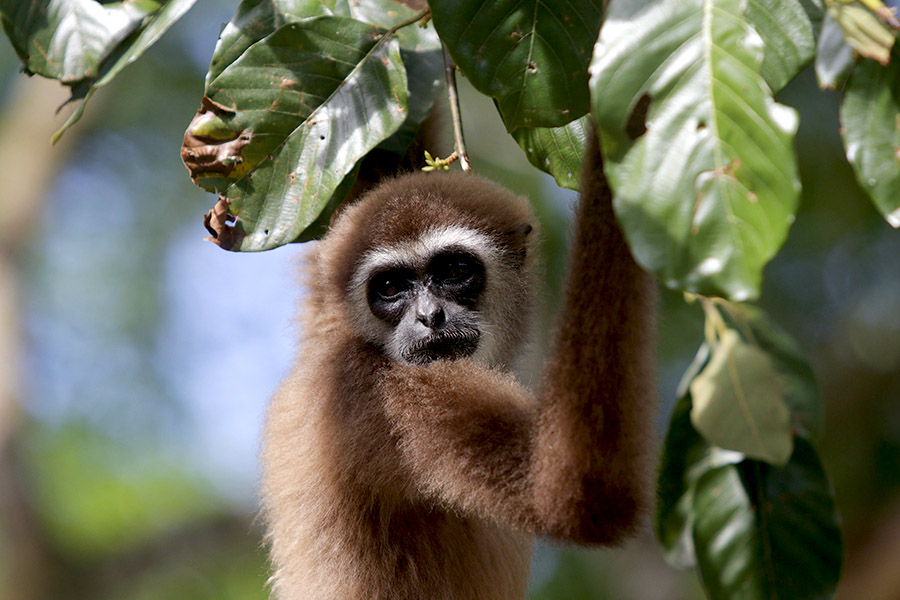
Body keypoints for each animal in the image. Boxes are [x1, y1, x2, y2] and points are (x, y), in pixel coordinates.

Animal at [260, 130, 657, 600]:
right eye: (390, 287)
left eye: (452, 271)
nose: (429, 316)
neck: (362, 346)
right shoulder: (388, 395)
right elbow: (577, 492)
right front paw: (616, 132)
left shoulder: (328, 311)